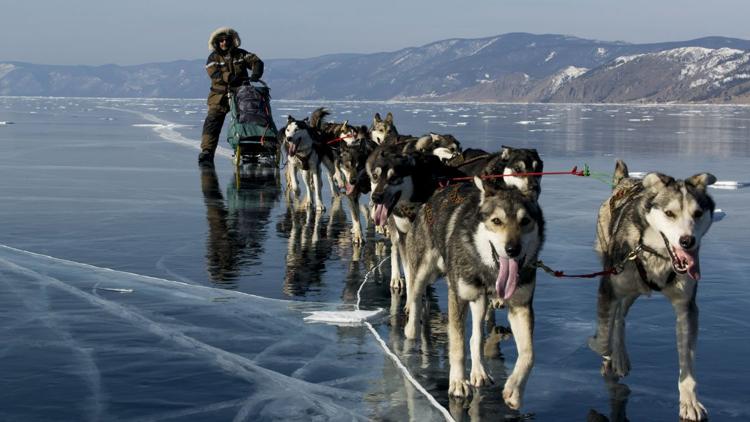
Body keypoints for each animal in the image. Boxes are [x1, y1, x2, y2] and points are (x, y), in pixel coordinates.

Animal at [406, 178, 548, 408]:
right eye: (496, 221)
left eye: (525, 220)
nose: (512, 249)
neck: (488, 270)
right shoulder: (458, 297)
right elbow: (457, 344)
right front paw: (457, 382)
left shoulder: (520, 306)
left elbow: (529, 354)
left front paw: (514, 390)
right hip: (424, 271)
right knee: (416, 297)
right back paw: (411, 330)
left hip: (480, 300)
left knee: (477, 337)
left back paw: (479, 372)